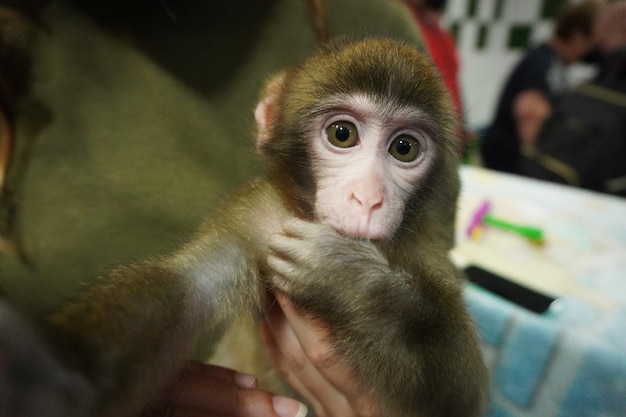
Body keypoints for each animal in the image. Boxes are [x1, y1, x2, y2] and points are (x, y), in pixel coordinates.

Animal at [47, 37, 488, 414]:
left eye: (404, 148)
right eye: (342, 134)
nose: (368, 198)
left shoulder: (425, 251)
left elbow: (459, 396)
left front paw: (348, 280)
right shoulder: (256, 216)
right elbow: (187, 289)